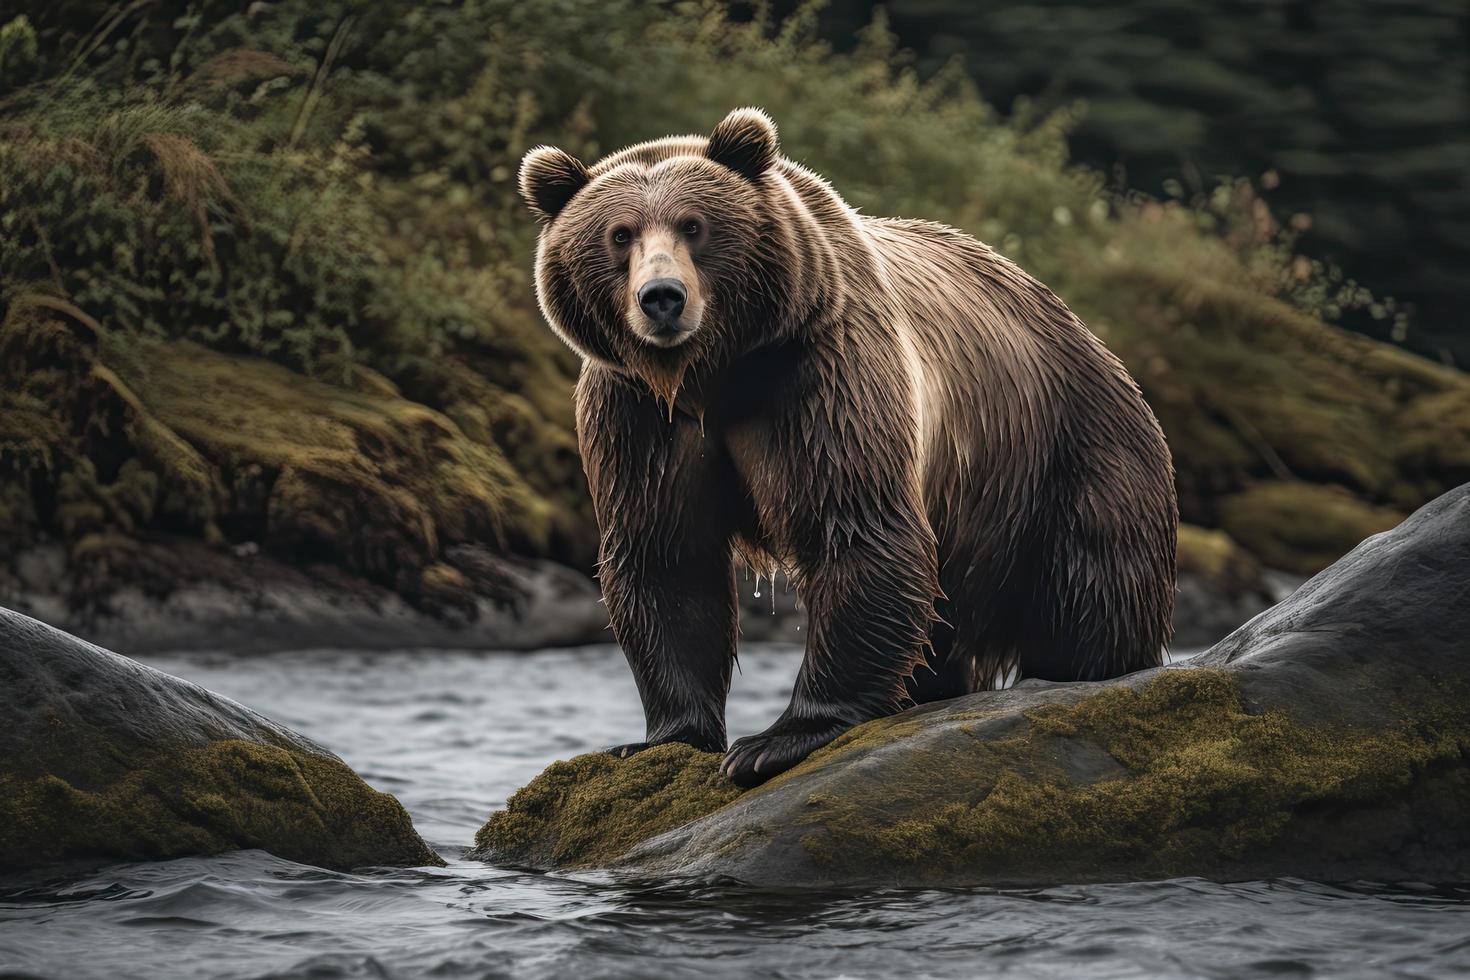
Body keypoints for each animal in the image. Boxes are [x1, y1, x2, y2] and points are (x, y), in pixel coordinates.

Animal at [523, 107, 1176, 787]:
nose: (662, 298)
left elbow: (855, 526)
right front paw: (661, 739)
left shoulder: (821, 373)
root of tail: (1089, 335)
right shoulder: (640, 416)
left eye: (694, 225)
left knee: (1090, 589)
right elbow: (666, 556)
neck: (713, 375)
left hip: (1065, 456)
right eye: (619, 234)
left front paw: (776, 739)